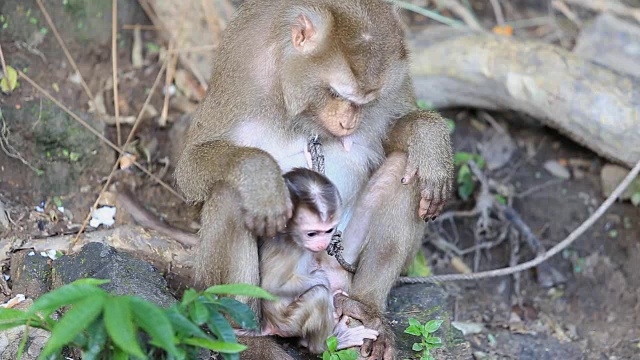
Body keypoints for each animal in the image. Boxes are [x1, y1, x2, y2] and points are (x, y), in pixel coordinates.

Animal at [255, 169, 378, 354]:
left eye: (328, 230)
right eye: (312, 233)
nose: (321, 243)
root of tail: (269, 325)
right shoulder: (289, 249)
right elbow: (271, 287)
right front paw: (323, 279)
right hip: (288, 324)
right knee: (318, 295)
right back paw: (326, 344)